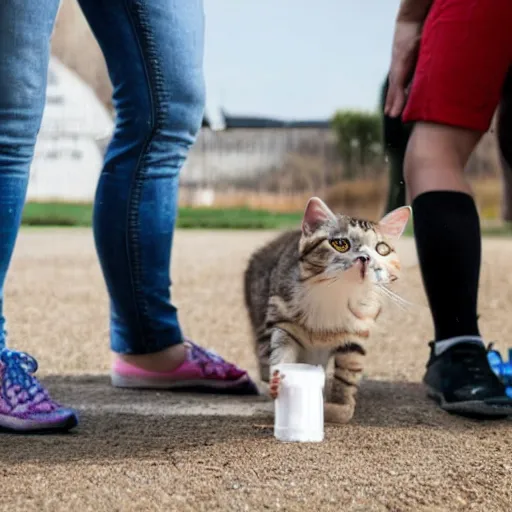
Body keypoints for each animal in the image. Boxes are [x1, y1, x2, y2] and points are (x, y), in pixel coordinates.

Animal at [244, 196, 412, 424]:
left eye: (382, 249)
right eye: (340, 244)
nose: (365, 258)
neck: (336, 295)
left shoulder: (358, 332)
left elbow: (347, 373)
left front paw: (339, 406)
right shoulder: (283, 321)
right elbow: (281, 353)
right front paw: (278, 382)